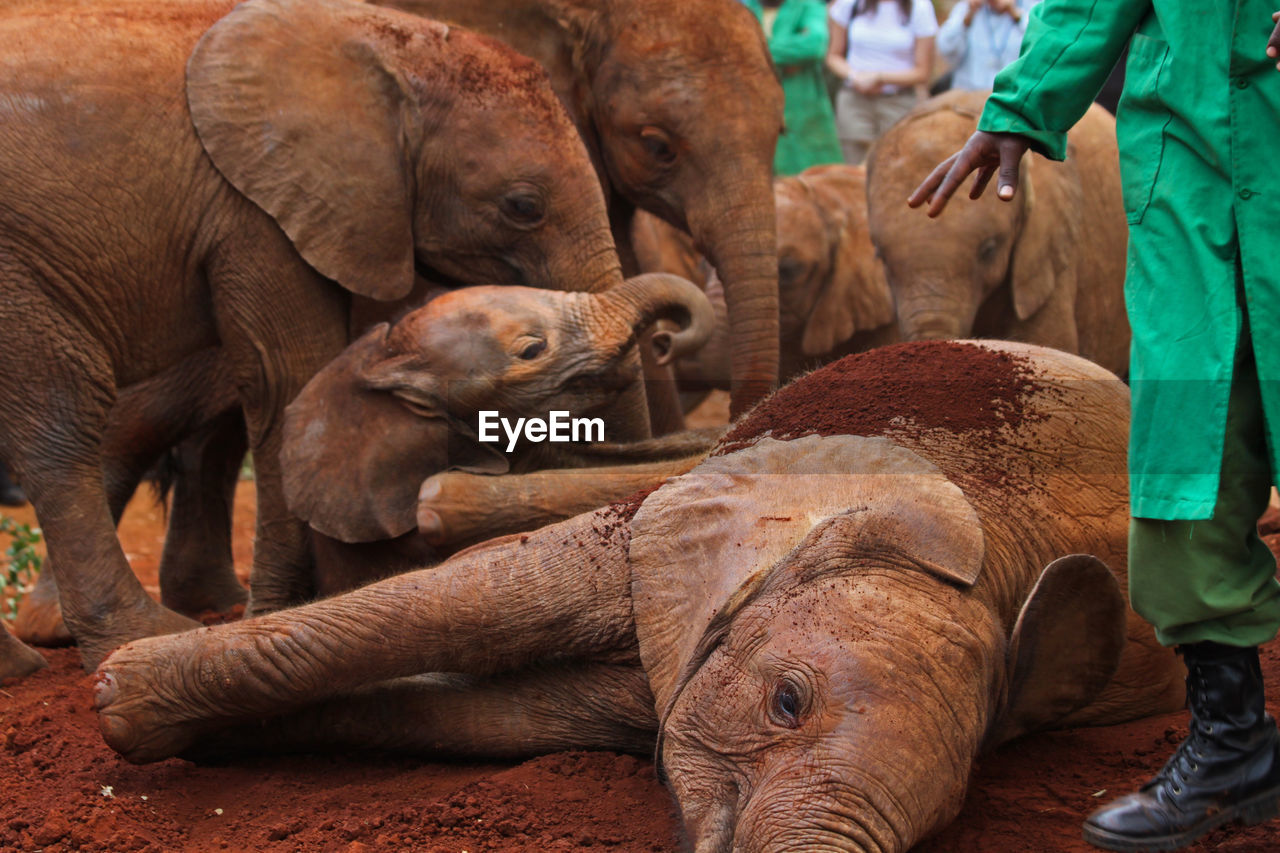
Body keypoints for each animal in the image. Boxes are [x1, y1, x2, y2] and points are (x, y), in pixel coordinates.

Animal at [0, 0, 634, 671]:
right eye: (521, 206)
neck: (378, 36)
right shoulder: (255, 212)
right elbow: (287, 377)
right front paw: (284, 610)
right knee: (61, 420)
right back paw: (138, 636)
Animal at [94, 338, 1182, 850]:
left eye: (954, 802)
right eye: (786, 702)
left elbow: (493, 717)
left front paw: (187, 731)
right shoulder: (684, 524)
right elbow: (488, 599)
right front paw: (118, 701)